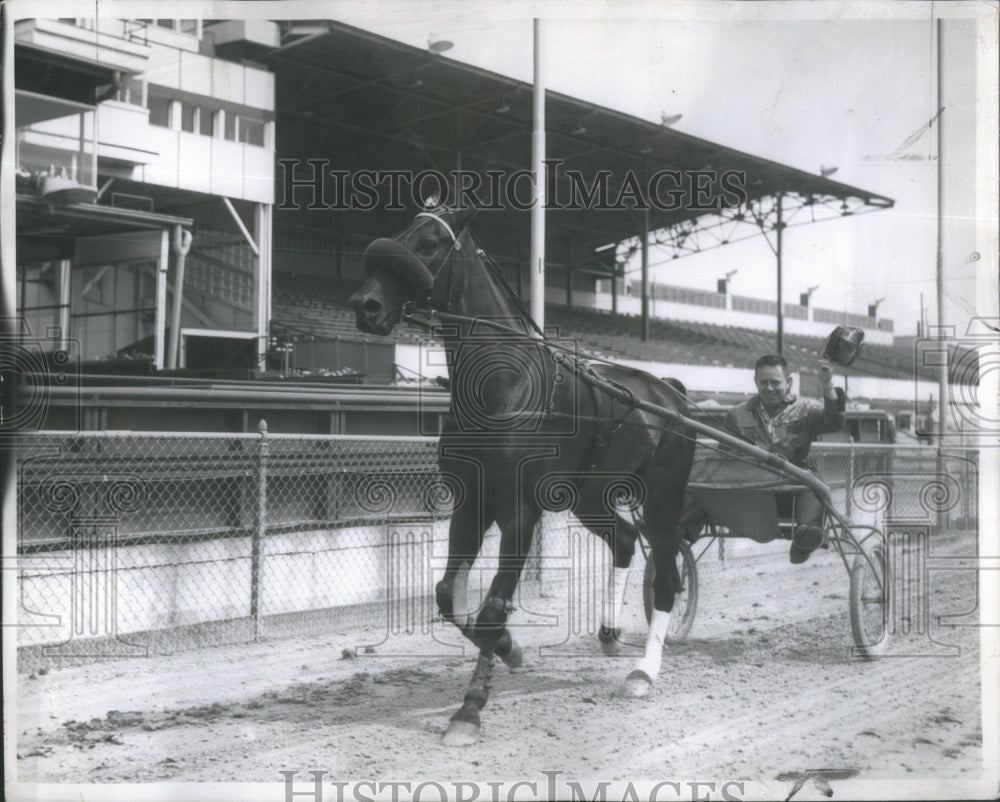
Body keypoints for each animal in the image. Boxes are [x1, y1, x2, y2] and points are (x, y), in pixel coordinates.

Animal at [348, 208, 692, 744]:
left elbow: (491, 608)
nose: (366, 304)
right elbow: (448, 597)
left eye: (428, 243)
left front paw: (469, 709)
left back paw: (644, 672)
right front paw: (510, 649)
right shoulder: (470, 503)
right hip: (589, 495)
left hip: (663, 498)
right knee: (623, 540)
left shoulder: (519, 513)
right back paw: (610, 636)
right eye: (402, 232)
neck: (505, 386)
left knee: (667, 579)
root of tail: (671, 393)